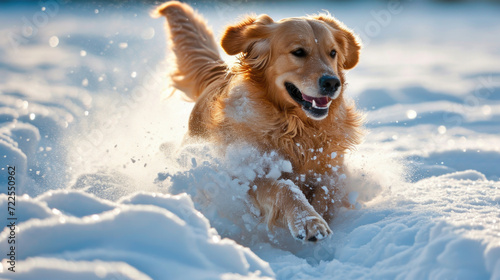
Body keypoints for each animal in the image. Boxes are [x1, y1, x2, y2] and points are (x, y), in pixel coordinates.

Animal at [154, 1, 362, 243]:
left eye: (333, 53)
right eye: (298, 52)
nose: (332, 82)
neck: (296, 129)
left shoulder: (331, 169)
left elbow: (328, 192)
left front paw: (320, 216)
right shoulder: (248, 177)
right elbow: (285, 187)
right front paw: (309, 221)